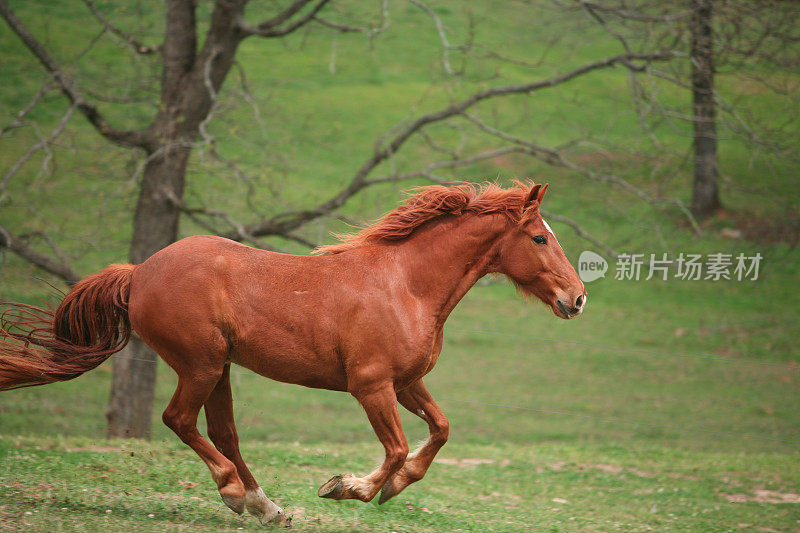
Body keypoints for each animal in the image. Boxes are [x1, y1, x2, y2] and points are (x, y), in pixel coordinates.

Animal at [1, 181, 588, 520]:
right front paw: (348, 487)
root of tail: (139, 272)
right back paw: (235, 493)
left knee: (222, 431)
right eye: (540, 238)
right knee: (180, 420)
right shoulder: (370, 384)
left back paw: (266, 506)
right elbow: (397, 448)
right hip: (200, 363)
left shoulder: (406, 382)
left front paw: (394, 489)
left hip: (220, 368)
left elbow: (440, 430)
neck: (407, 286)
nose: (577, 298)